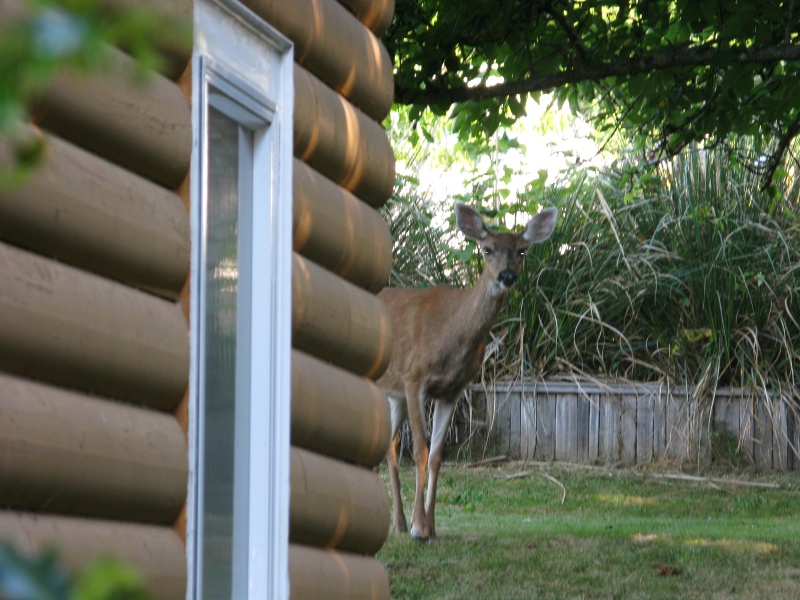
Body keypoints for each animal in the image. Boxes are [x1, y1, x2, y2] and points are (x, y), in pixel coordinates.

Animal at [377, 202, 558, 540]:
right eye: (487, 249)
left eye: (522, 250)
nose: (507, 276)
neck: (451, 333)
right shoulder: (414, 378)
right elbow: (420, 450)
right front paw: (419, 527)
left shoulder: (452, 389)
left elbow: (436, 455)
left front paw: (430, 527)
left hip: (392, 394)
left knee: (390, 444)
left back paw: (397, 522)